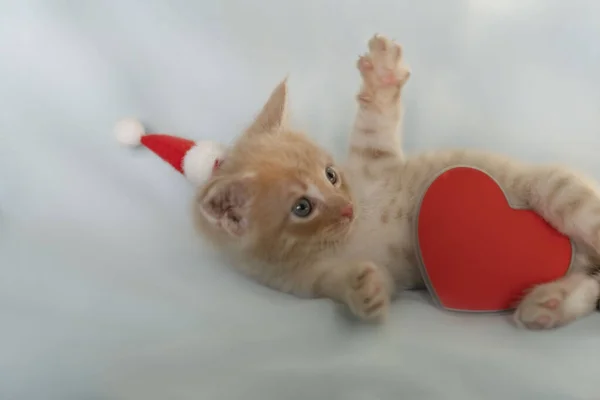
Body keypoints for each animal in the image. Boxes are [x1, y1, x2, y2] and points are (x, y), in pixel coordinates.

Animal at [195, 34, 600, 330]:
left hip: (554, 190)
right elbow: (350, 282)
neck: (346, 236)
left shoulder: (377, 165)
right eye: (302, 207)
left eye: (331, 175)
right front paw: (363, 289)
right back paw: (548, 303)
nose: (348, 209)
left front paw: (382, 76)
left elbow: (374, 123)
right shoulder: (307, 280)